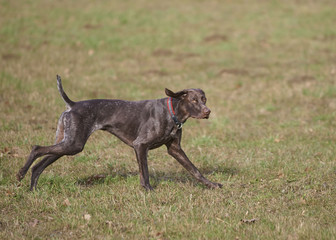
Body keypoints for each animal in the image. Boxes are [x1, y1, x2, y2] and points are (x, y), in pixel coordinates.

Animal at [17, 76, 223, 190]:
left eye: (204, 99)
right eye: (194, 100)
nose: (208, 112)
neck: (171, 112)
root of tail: (73, 105)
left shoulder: (175, 149)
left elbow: (195, 170)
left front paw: (212, 184)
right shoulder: (140, 146)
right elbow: (144, 172)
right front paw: (148, 190)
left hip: (67, 144)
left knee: (39, 165)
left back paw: (33, 189)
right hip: (73, 144)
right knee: (36, 148)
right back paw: (20, 174)